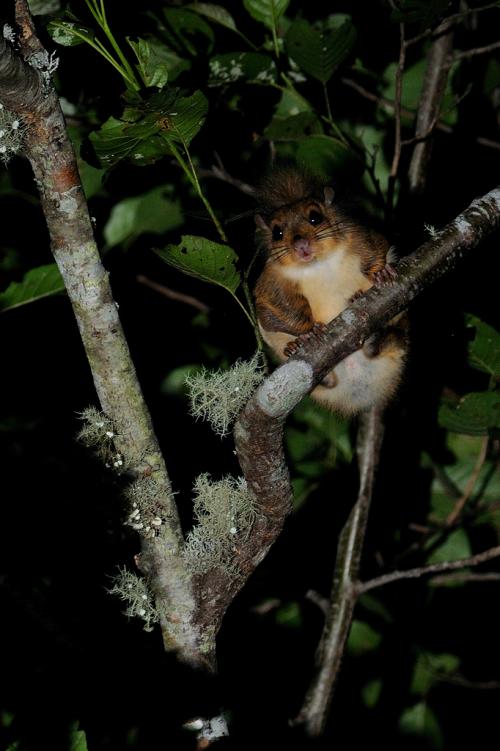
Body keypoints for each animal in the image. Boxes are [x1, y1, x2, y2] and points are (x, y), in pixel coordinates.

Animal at [254, 166, 406, 418]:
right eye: (277, 233)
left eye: (315, 217)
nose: (300, 244)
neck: (318, 264)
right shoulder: (272, 282)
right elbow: (275, 310)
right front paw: (307, 332)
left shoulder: (361, 237)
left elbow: (376, 251)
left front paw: (380, 273)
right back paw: (297, 350)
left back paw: (371, 329)